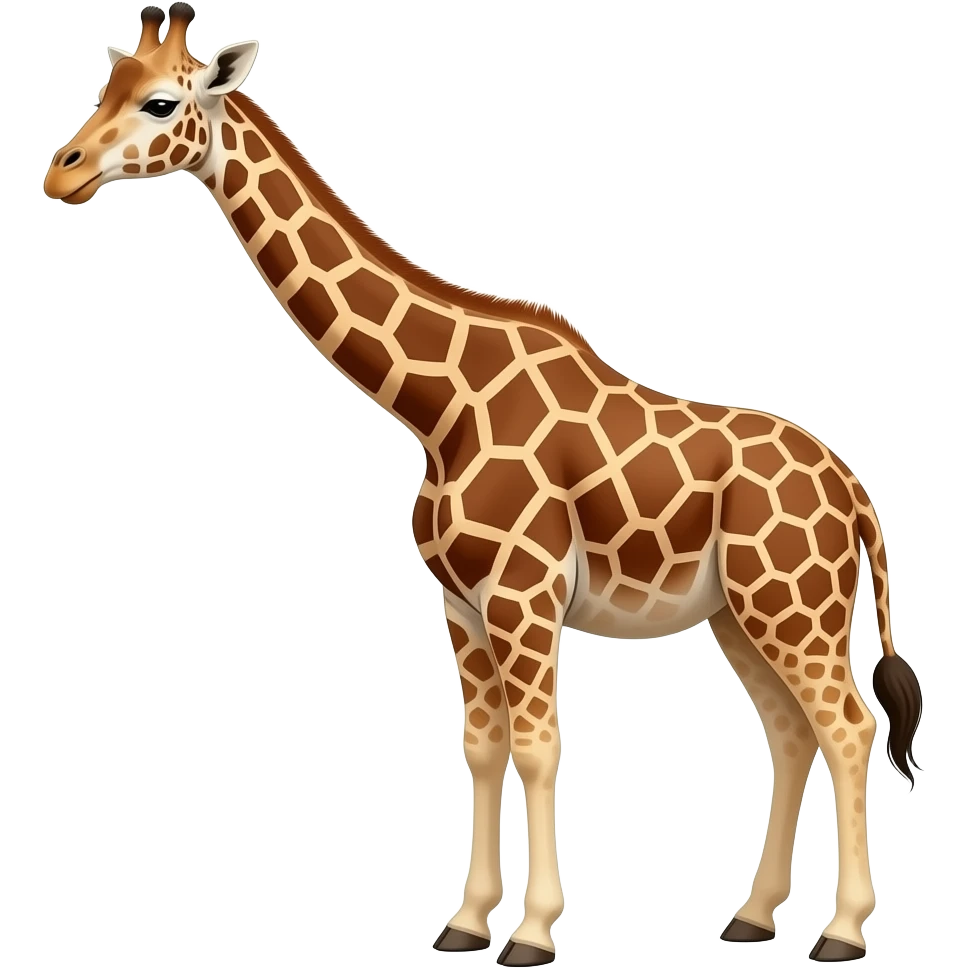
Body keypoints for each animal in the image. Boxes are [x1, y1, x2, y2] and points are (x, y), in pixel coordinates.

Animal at [42, 5, 924, 964]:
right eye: (108, 85)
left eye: (162, 102)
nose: (63, 171)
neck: (438, 407)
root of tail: (856, 493)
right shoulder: (460, 604)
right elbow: (481, 747)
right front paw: (466, 923)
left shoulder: (522, 594)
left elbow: (538, 747)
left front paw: (533, 933)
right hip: (740, 612)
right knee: (792, 731)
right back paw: (753, 917)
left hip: (793, 605)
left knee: (848, 726)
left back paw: (842, 932)